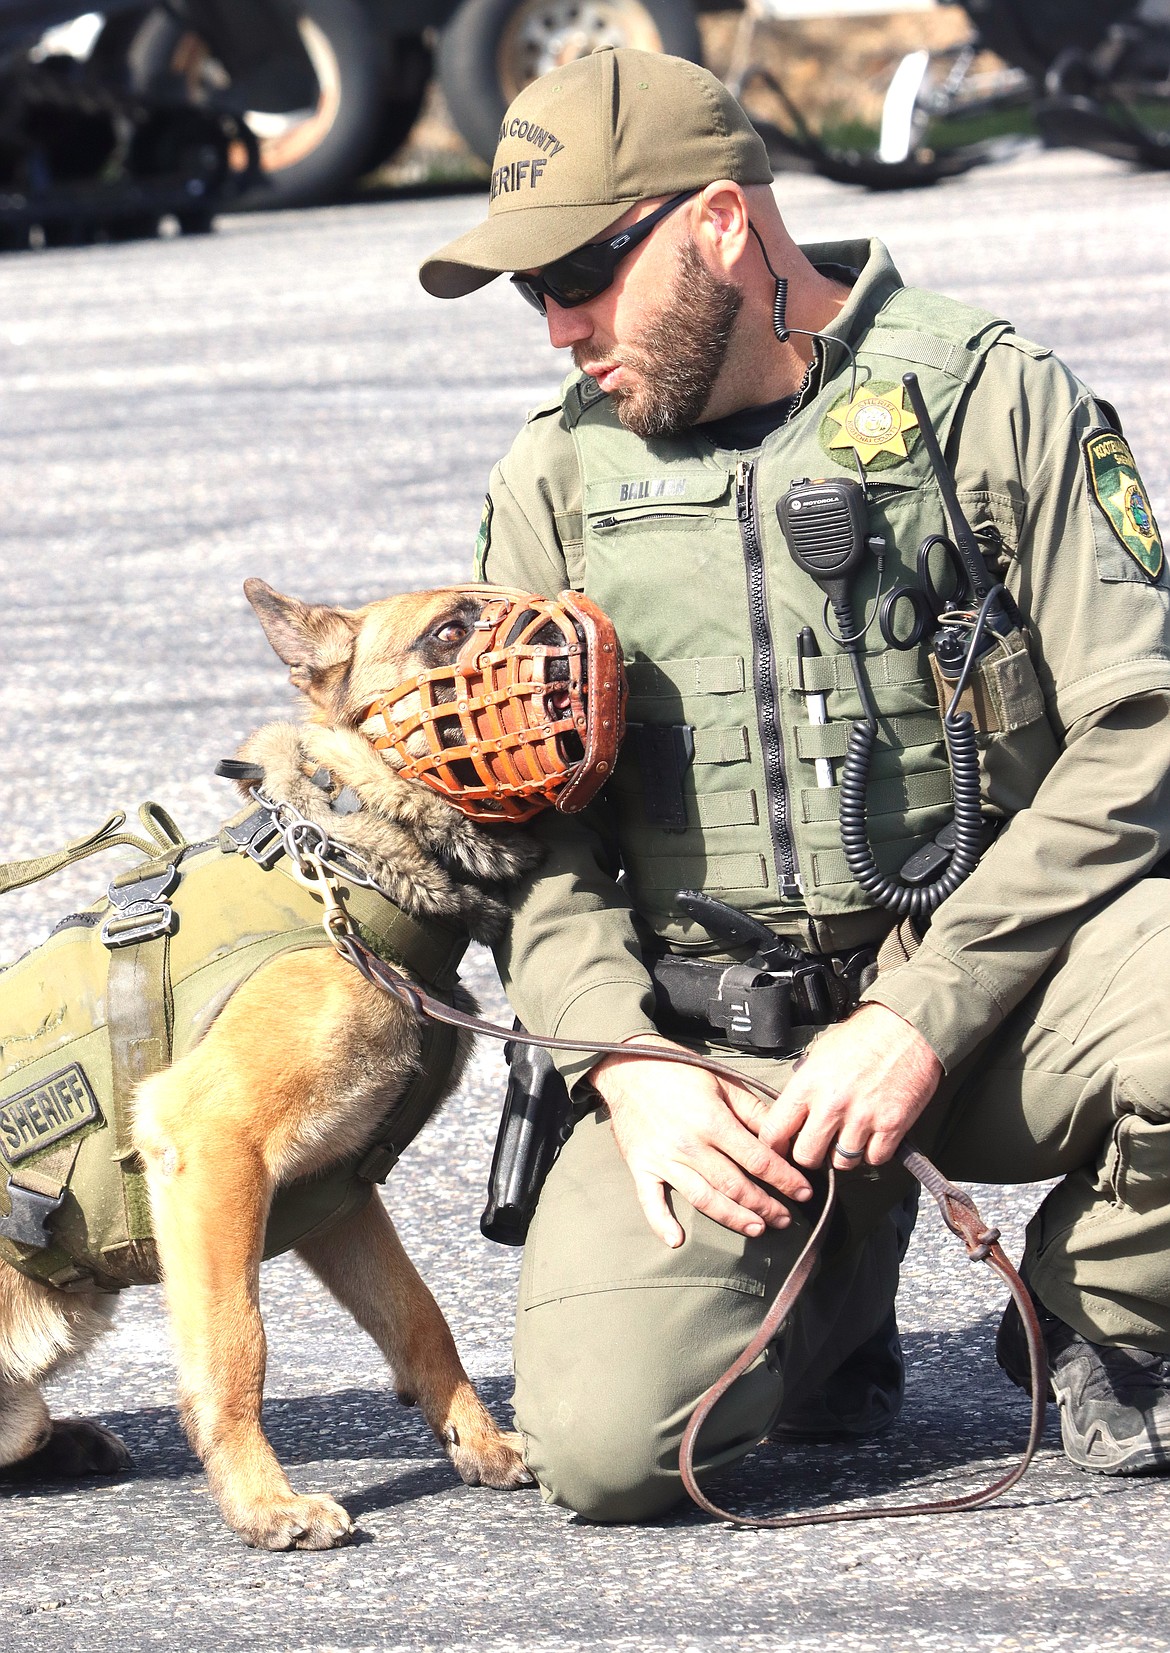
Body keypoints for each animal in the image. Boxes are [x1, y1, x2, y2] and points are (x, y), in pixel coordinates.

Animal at [0, 581, 538, 1547]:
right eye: (448, 629)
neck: (345, 866)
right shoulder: (211, 1151)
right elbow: (235, 1344)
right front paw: (261, 1501)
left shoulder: (337, 1194)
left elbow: (420, 1318)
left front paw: (475, 1440)